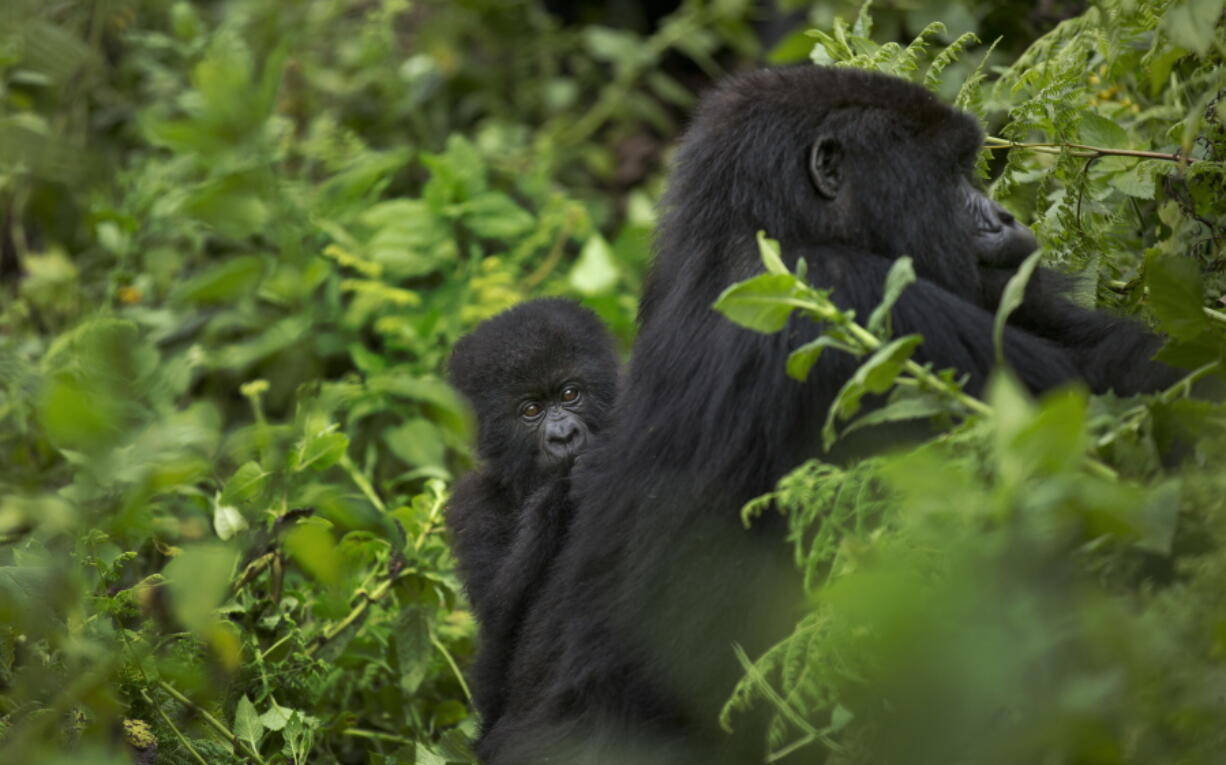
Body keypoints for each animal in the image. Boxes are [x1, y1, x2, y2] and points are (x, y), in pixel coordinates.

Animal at [446, 297, 617, 735]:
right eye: (532, 410)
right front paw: (560, 489)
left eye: (570, 393)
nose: (564, 436)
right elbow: (497, 613)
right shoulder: (472, 504)